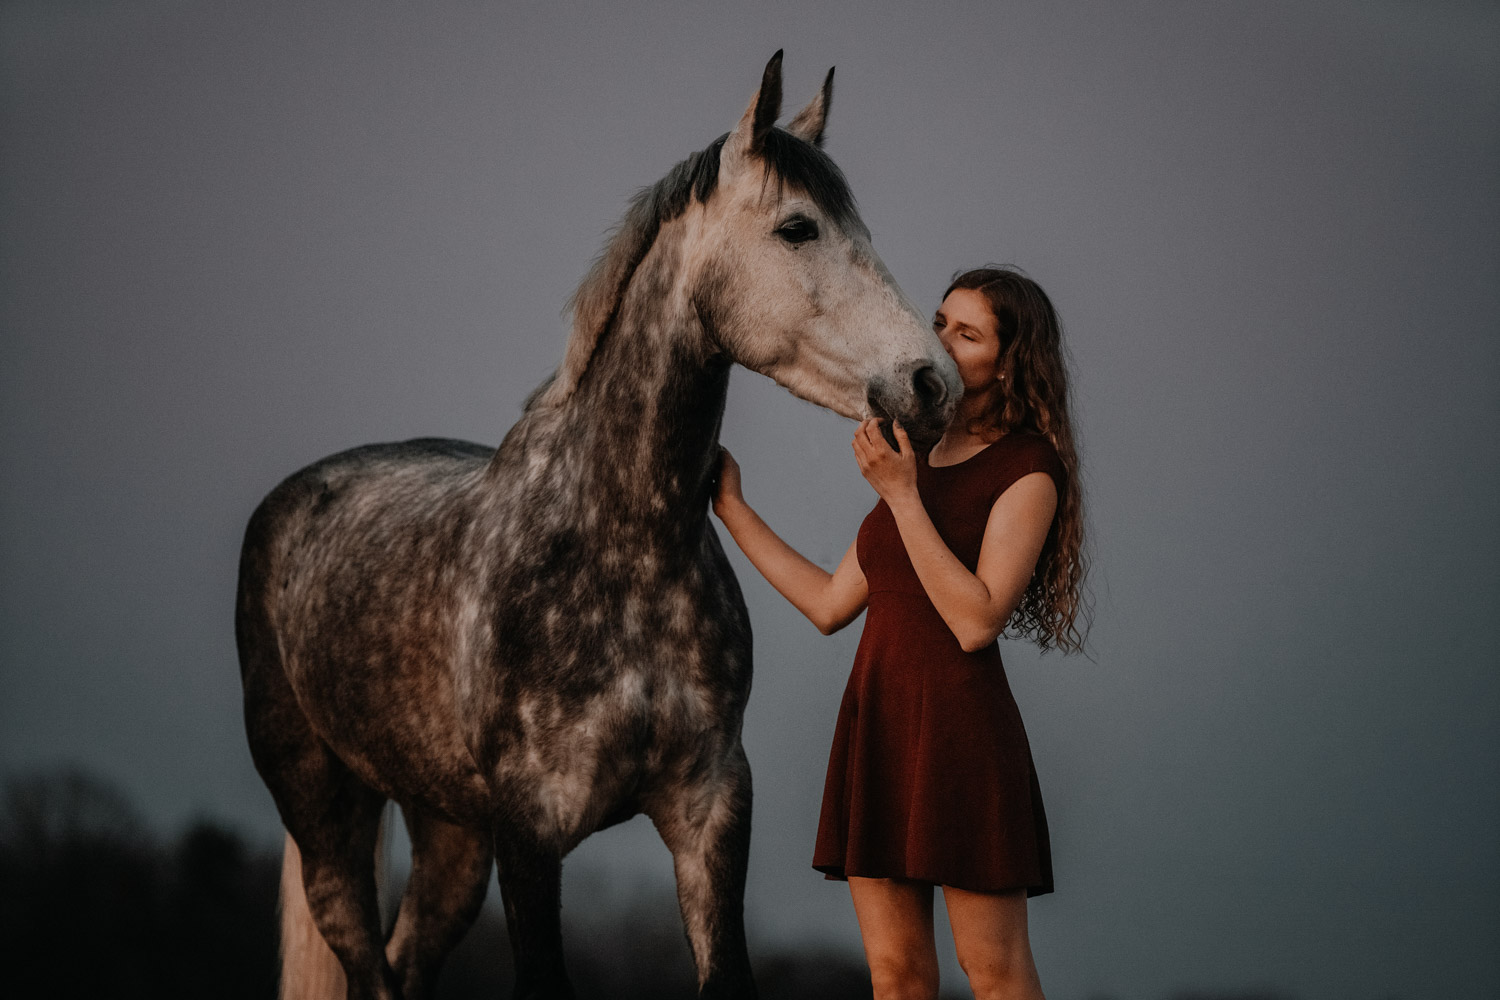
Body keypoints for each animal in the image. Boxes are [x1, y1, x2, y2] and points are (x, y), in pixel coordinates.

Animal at [234, 48, 960, 1000]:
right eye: (798, 228)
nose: (933, 383)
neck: (618, 549)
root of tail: (290, 504)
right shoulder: (530, 833)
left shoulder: (709, 809)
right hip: (326, 814)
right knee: (369, 962)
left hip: (449, 832)